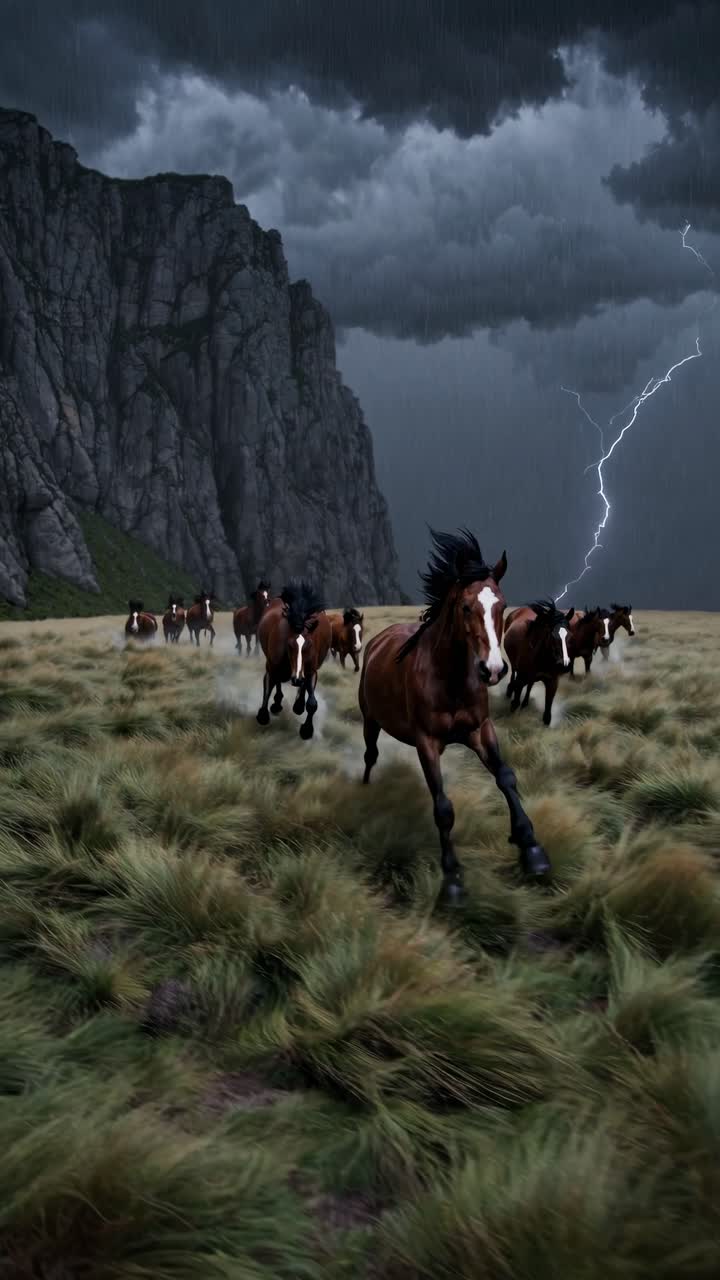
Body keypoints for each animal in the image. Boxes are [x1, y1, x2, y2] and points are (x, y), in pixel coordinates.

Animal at [256, 579, 331, 740]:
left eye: (309, 645)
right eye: (290, 645)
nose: (296, 679)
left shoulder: (311, 671)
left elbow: (312, 703)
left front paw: (307, 730)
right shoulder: (272, 666)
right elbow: (268, 687)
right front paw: (264, 714)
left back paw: (298, 705)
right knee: (277, 682)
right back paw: (277, 704)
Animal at [358, 528, 551, 906]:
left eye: (503, 606)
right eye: (465, 607)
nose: (493, 670)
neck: (449, 677)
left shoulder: (480, 730)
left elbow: (506, 778)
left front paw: (531, 848)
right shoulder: (427, 743)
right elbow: (443, 809)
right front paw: (453, 881)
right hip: (370, 721)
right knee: (370, 755)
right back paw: (367, 789)